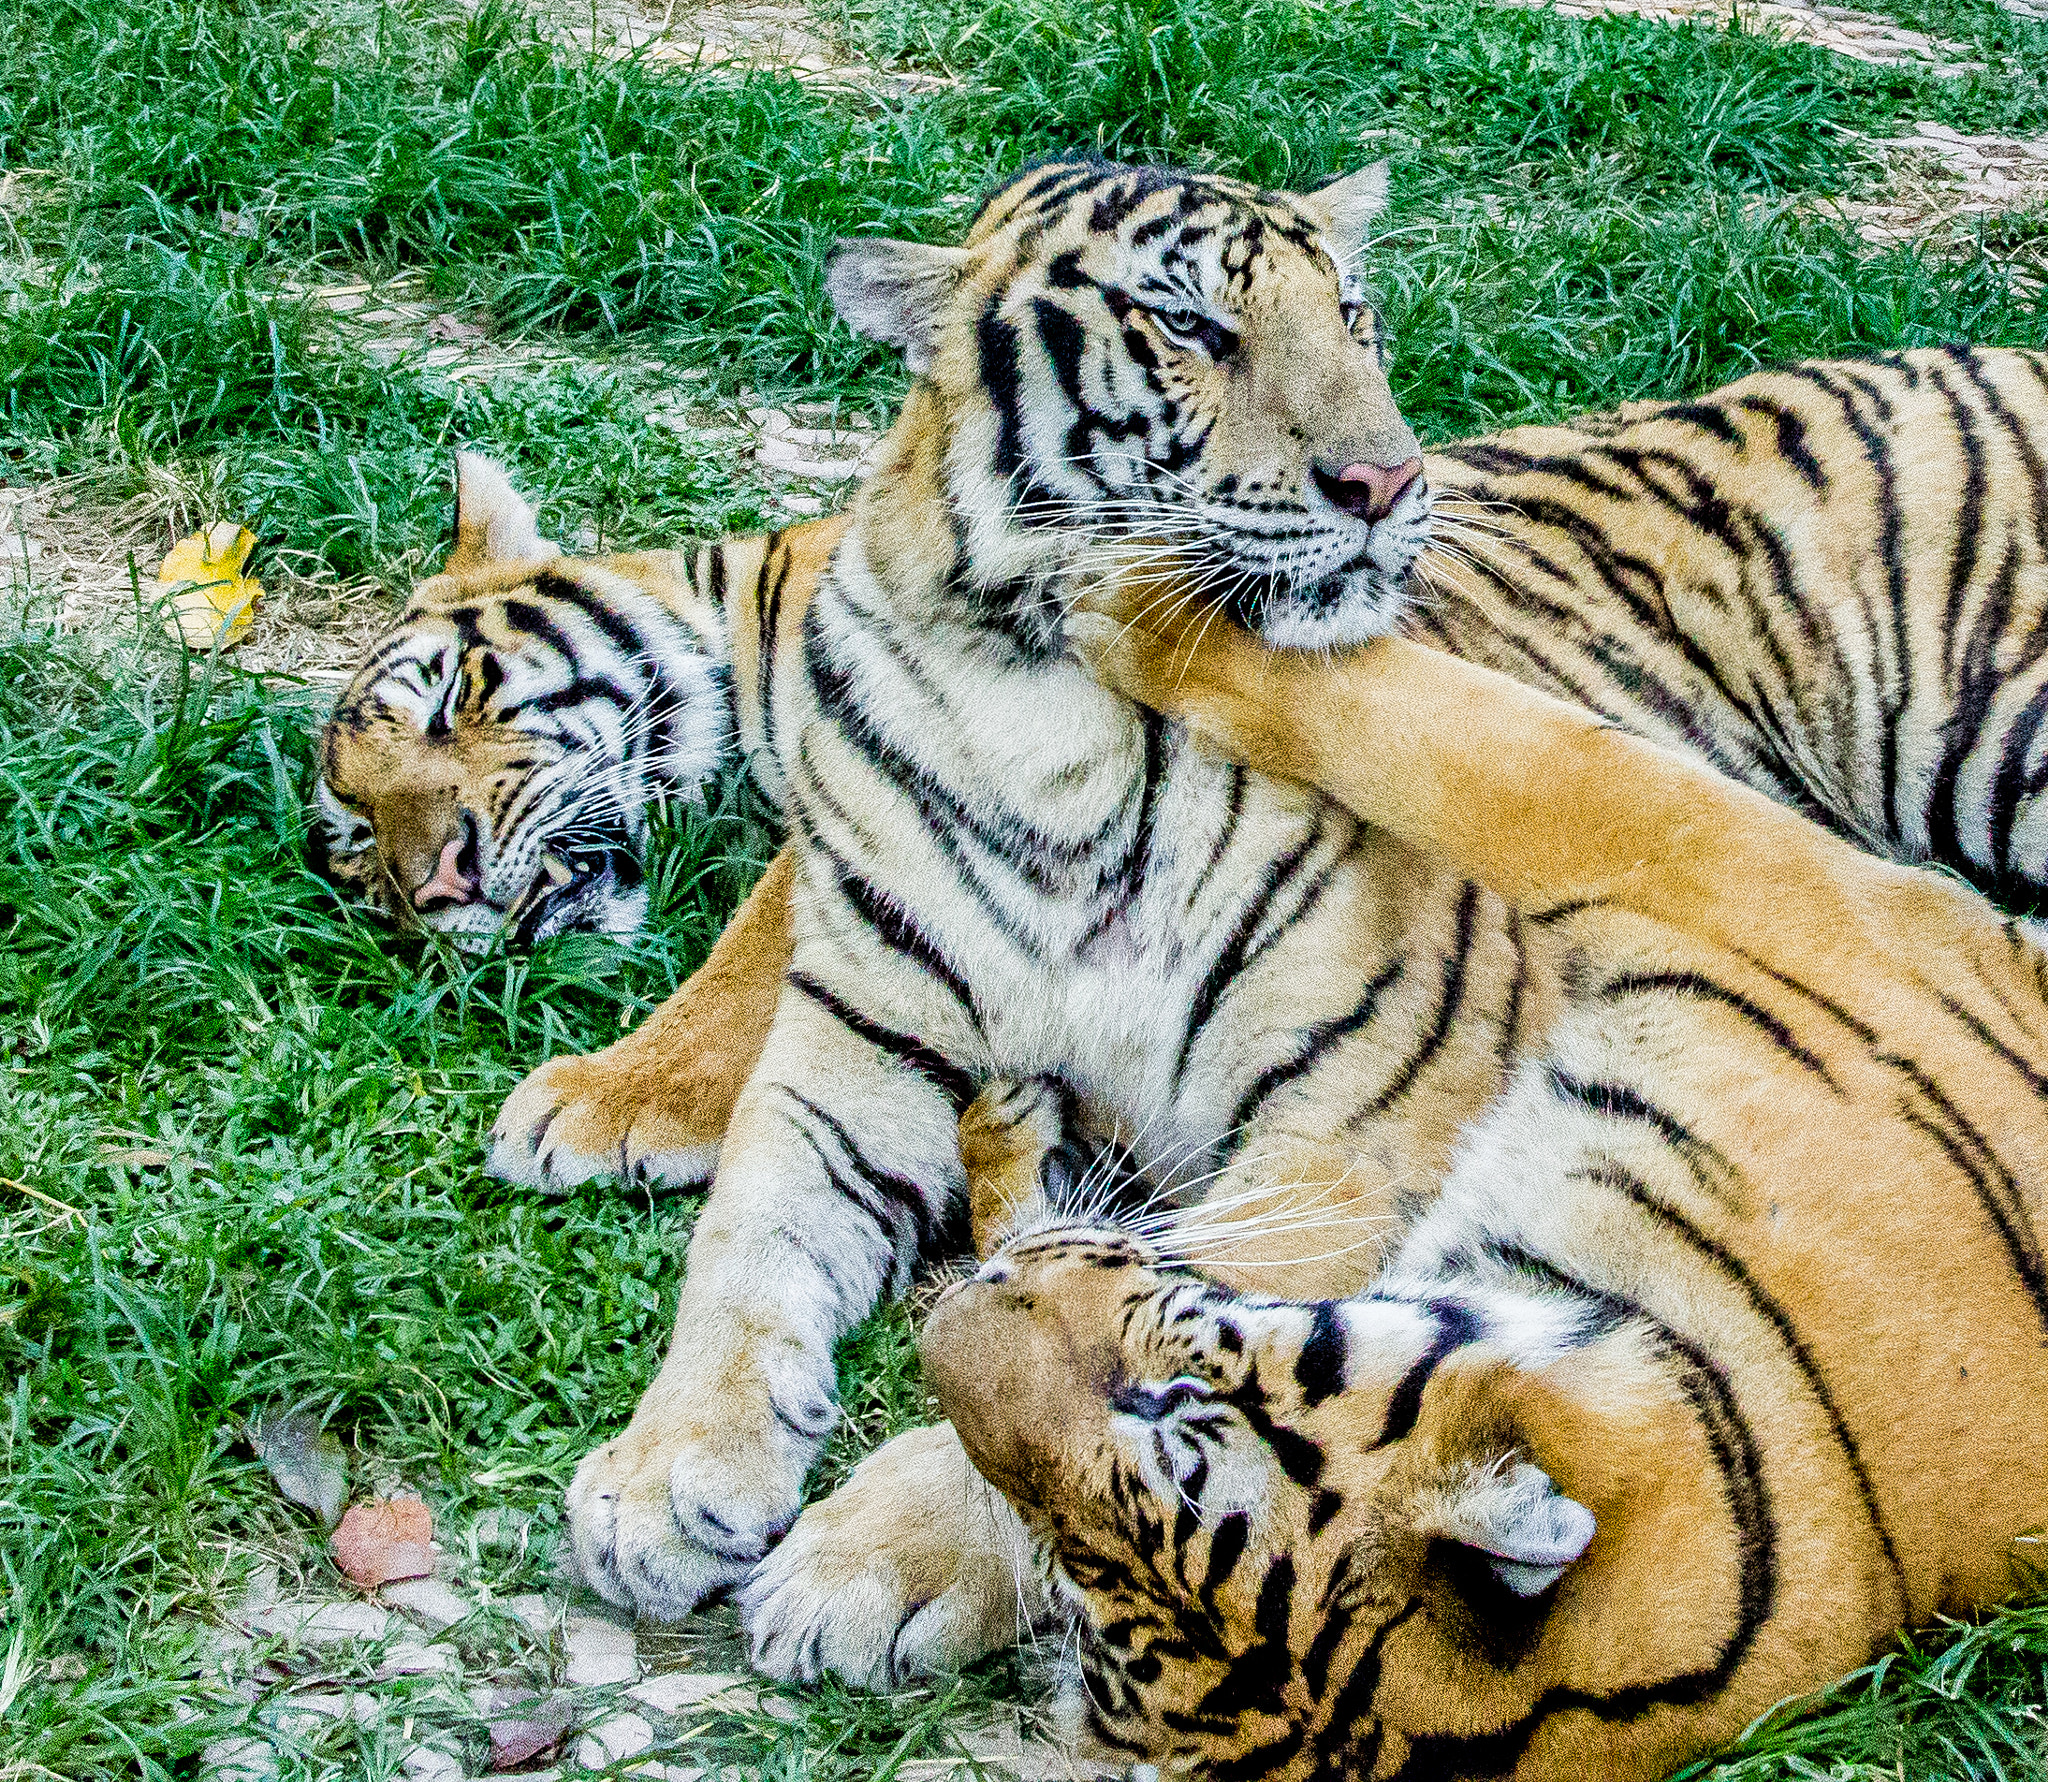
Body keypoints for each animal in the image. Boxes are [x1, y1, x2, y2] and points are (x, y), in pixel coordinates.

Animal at [455, 149, 2048, 1677]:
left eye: (1352, 317)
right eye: (1190, 329)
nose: (1386, 480)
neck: (1039, 716)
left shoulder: (1353, 1133)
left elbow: (1145, 1347)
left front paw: (871, 1563)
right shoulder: (851, 1053)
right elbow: (744, 1253)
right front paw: (667, 1476)